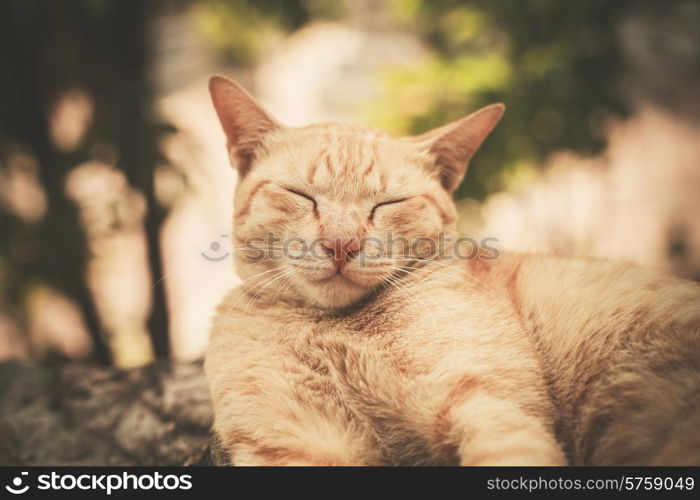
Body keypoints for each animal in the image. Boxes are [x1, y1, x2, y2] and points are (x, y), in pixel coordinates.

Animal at [202, 76, 700, 466]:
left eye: (389, 204)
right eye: (300, 195)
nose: (342, 244)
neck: (330, 328)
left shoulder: (489, 404)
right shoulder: (296, 445)